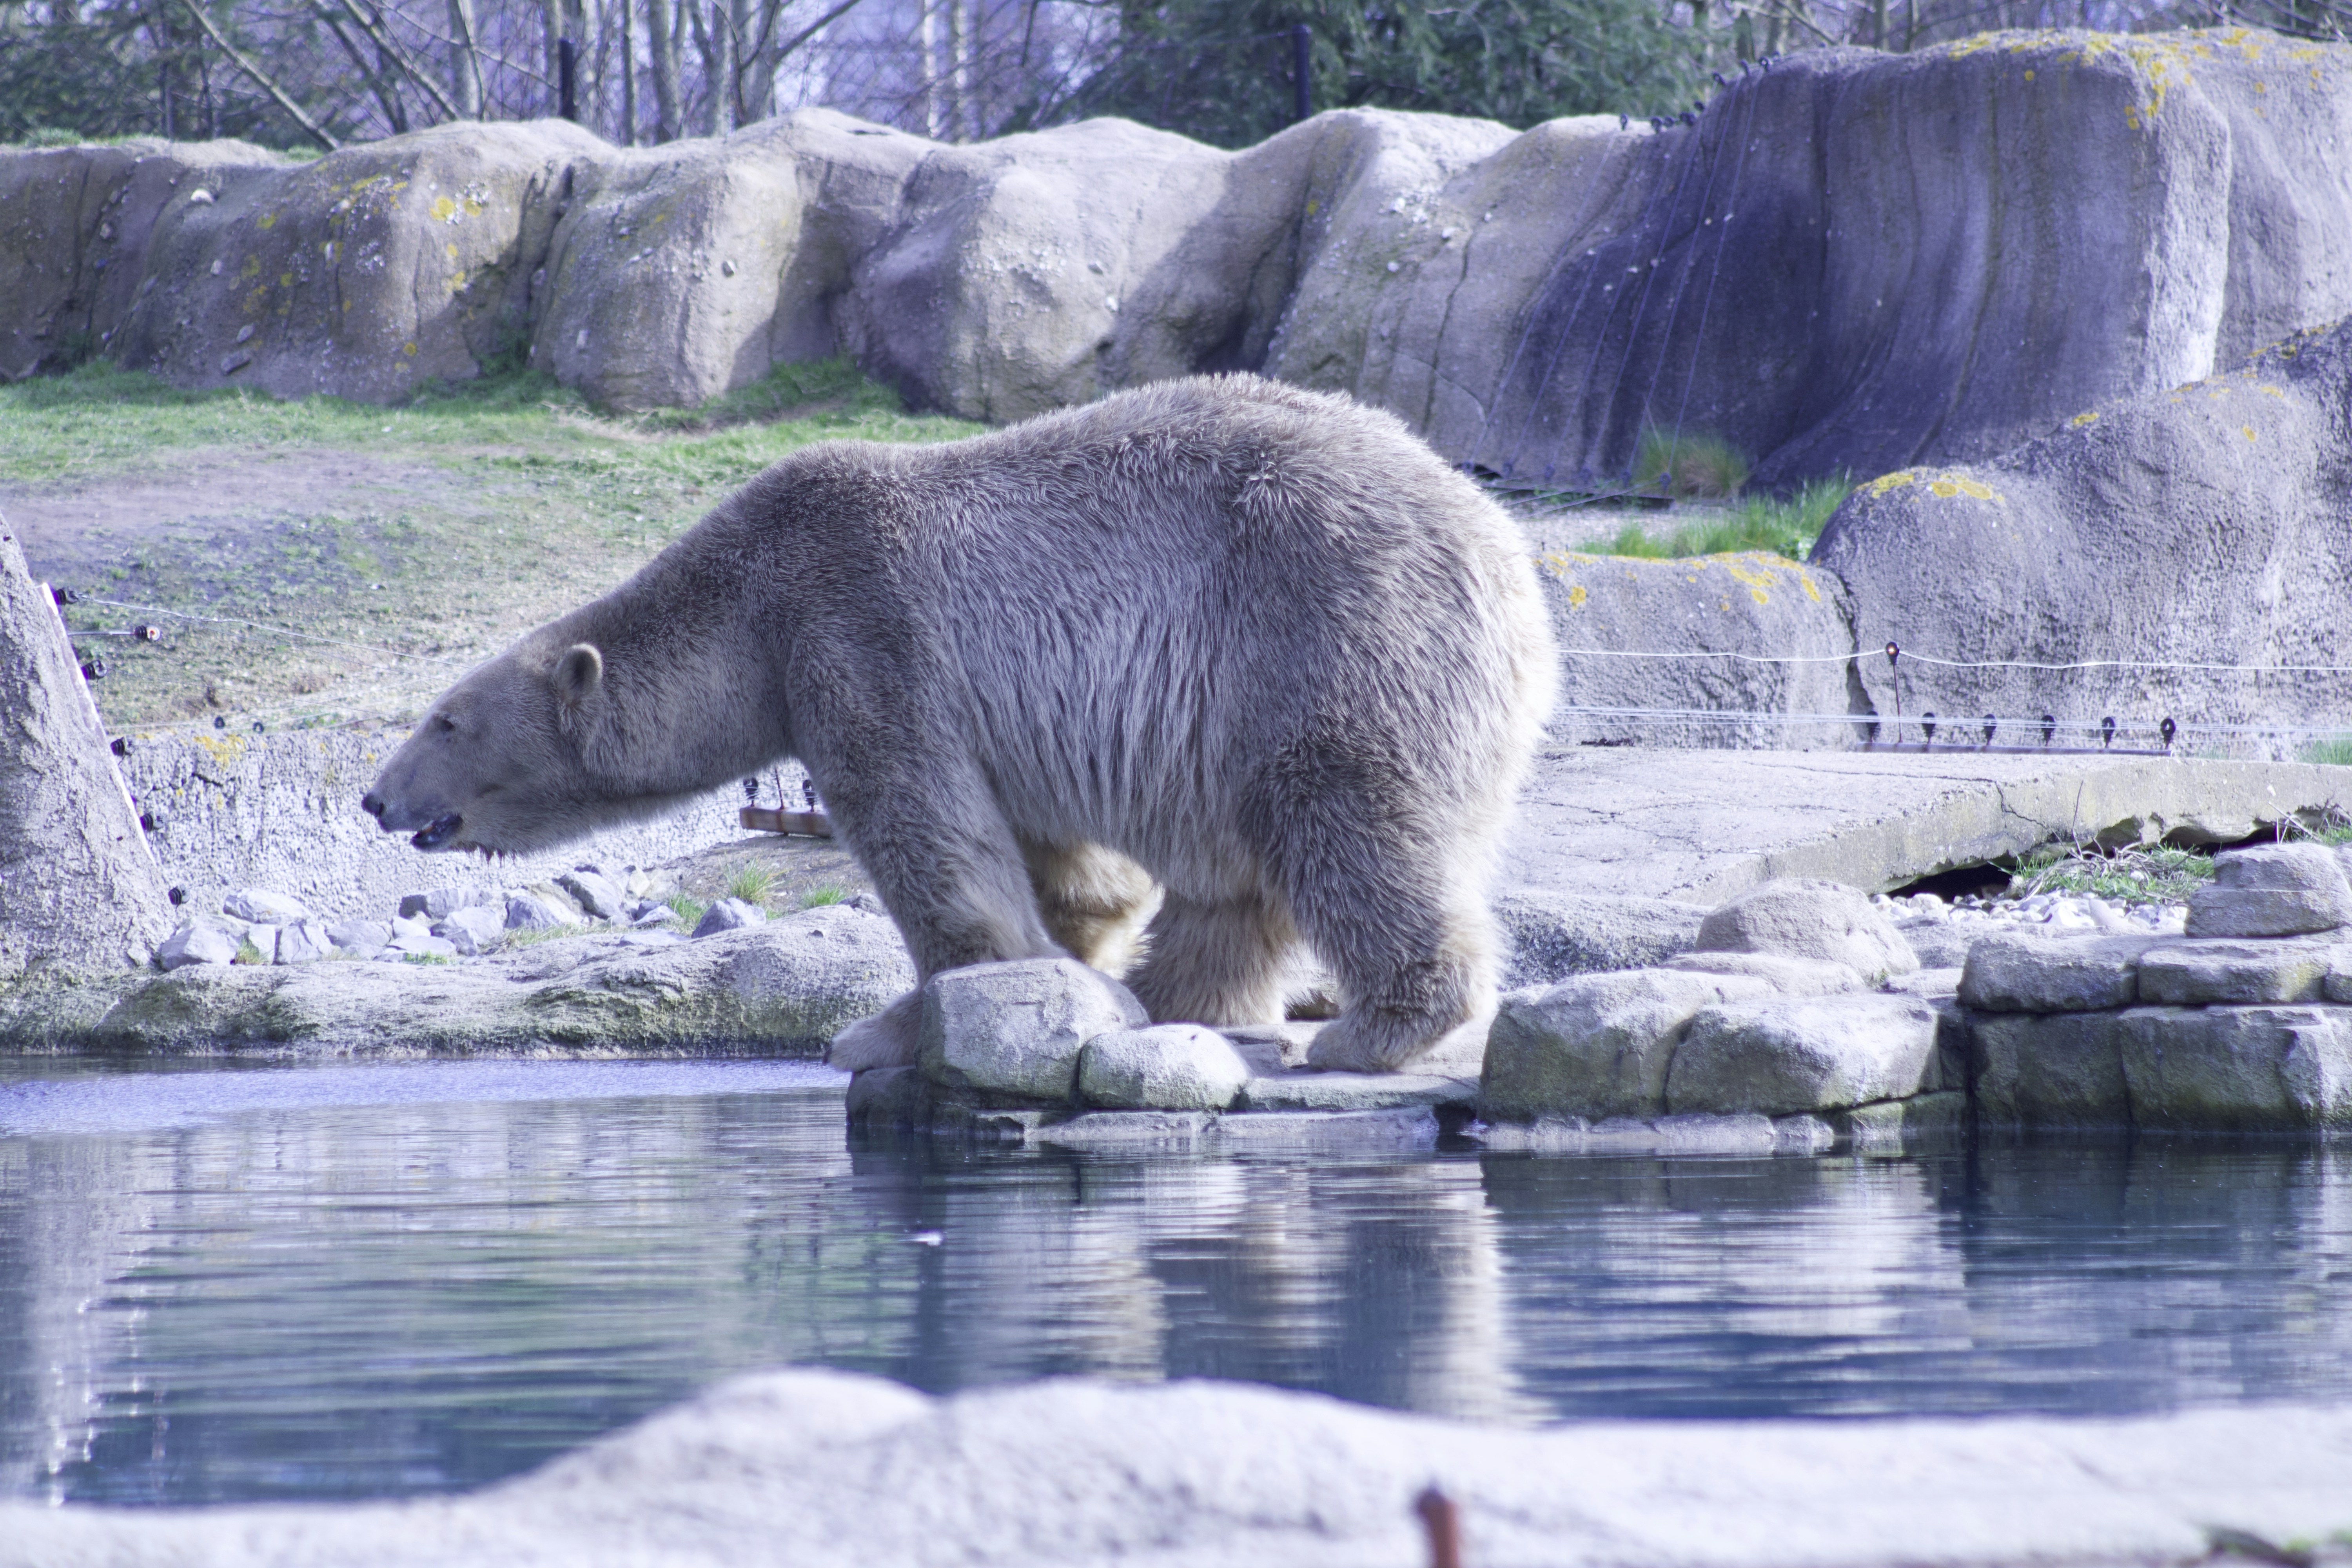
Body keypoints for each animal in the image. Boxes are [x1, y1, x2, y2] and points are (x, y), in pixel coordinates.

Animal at [361, 373, 1558, 1073]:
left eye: (446, 720)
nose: (374, 797)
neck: (747, 604)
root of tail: (1513, 565)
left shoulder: (858, 629)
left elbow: (931, 842)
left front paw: (882, 1029)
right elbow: (1070, 871)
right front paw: (1079, 976)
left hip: (1324, 623)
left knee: (1342, 814)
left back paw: (1372, 1027)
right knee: (1238, 884)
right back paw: (1181, 1004)